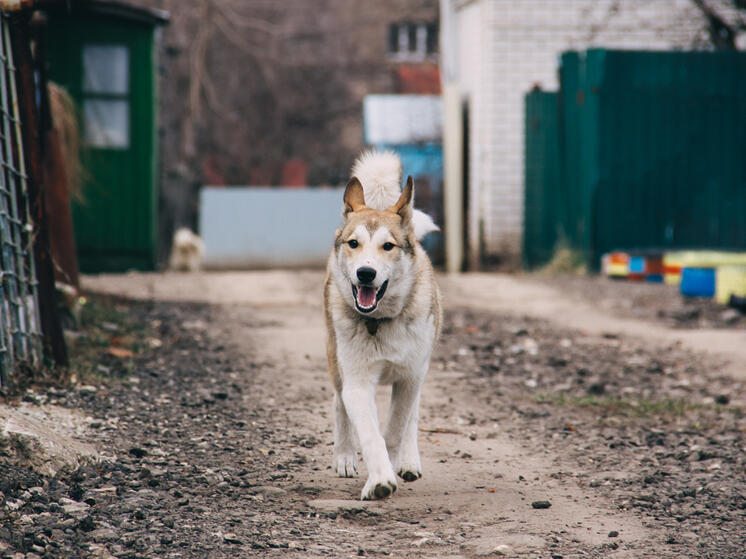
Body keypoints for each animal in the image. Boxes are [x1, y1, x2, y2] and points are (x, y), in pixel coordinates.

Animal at [322, 151, 438, 500]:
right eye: (354, 243)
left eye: (388, 246)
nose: (365, 273)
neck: (379, 322)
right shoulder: (358, 382)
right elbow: (370, 431)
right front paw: (380, 480)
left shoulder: (410, 376)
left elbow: (397, 426)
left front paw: (394, 463)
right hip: (336, 360)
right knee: (340, 404)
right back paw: (345, 456)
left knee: (412, 416)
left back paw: (409, 461)